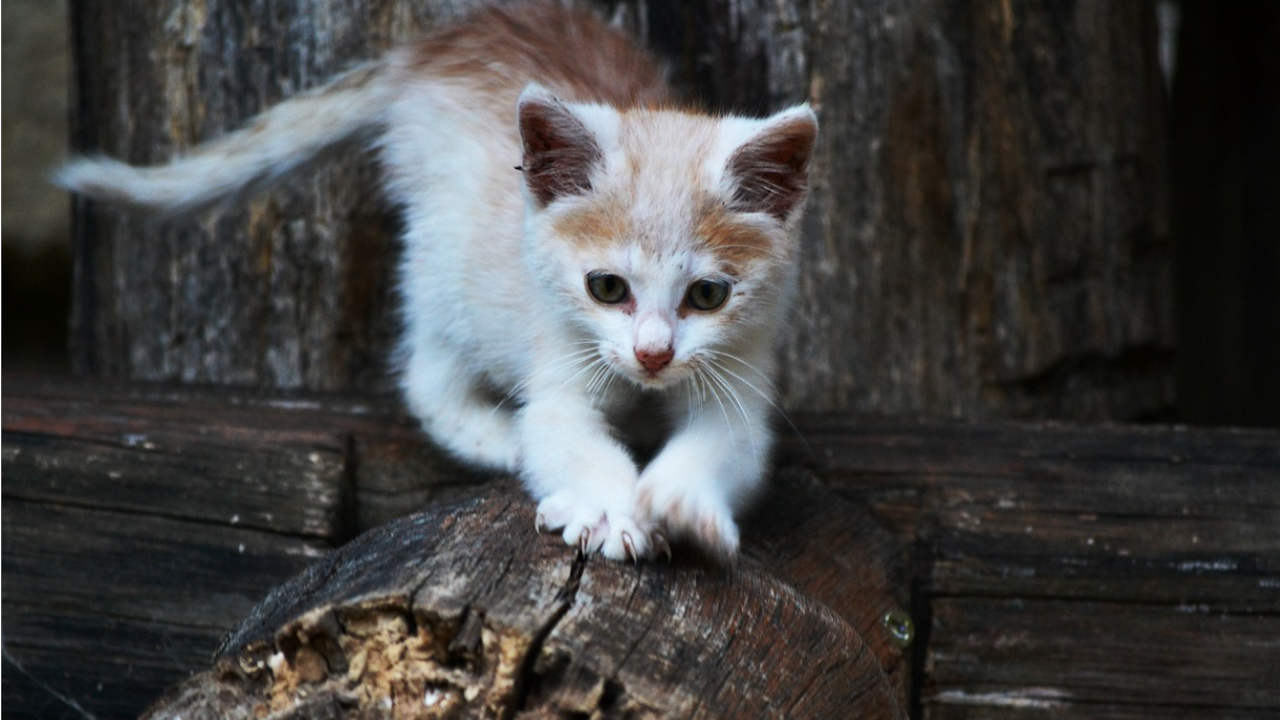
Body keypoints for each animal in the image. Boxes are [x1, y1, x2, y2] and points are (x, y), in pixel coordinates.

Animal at [55, 1, 814, 561]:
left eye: (707, 296)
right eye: (606, 288)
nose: (652, 354)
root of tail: (436, 47)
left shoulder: (739, 375)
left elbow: (727, 446)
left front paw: (681, 502)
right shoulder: (559, 363)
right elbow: (563, 435)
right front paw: (610, 508)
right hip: (445, 267)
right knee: (427, 379)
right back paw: (501, 439)